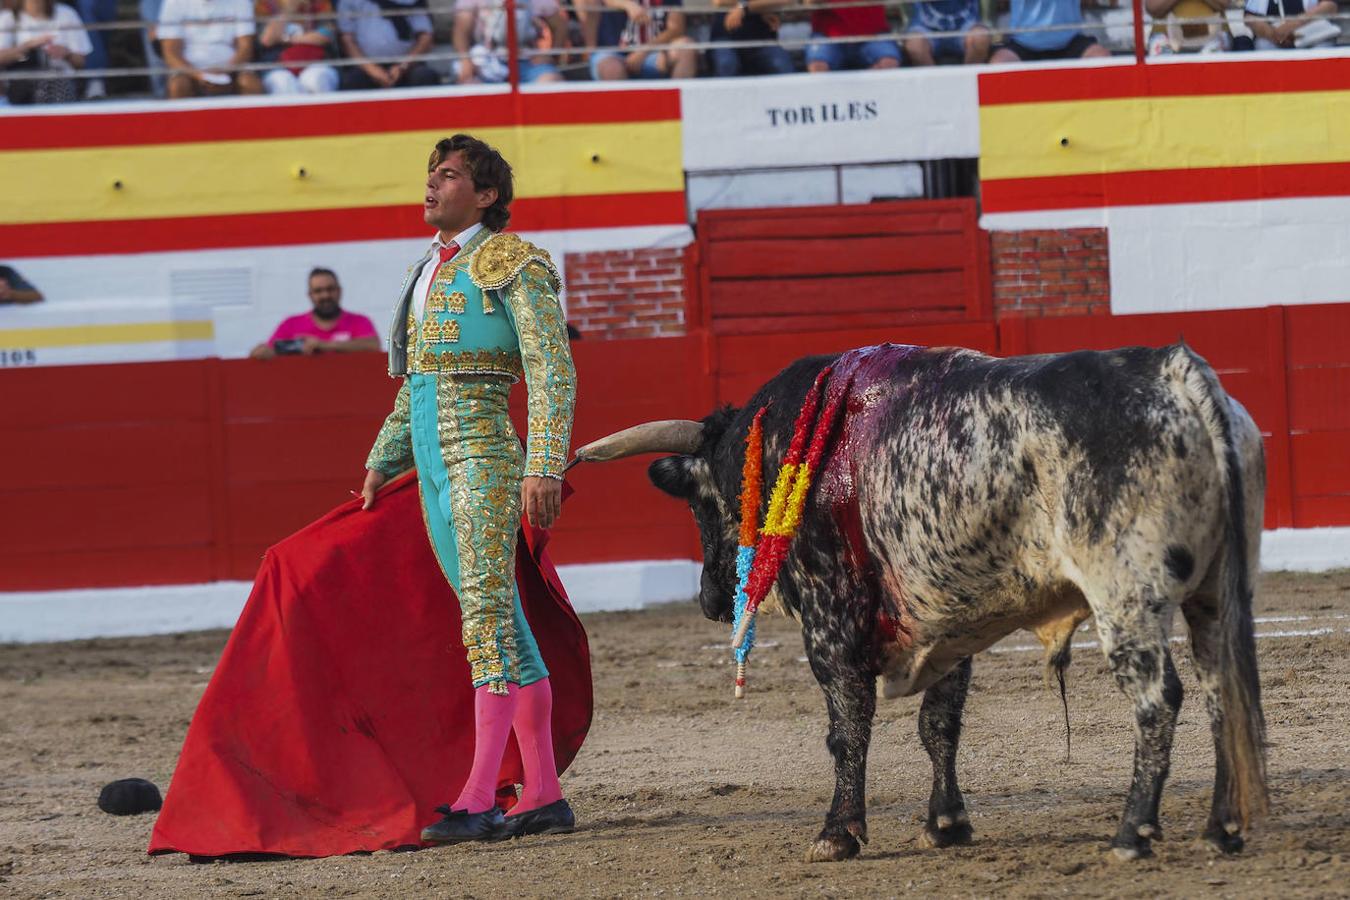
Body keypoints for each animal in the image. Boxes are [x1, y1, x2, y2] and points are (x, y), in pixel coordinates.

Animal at [577, 341, 1263, 863]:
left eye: (700, 502)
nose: (709, 598)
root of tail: (1174, 370)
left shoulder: (830, 620)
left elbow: (847, 727)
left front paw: (837, 834)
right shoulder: (951, 617)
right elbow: (940, 724)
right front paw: (946, 824)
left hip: (1126, 594)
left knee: (1157, 698)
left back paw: (1131, 834)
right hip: (1217, 591)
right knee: (1219, 688)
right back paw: (1220, 829)